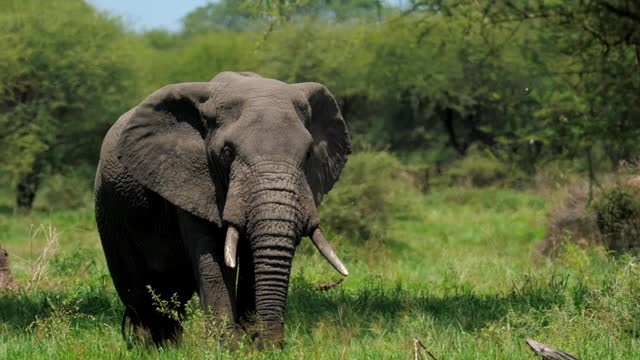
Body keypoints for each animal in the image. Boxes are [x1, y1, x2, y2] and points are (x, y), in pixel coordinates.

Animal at [95, 71, 350, 348]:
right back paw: (148, 347)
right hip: (110, 208)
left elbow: (251, 258)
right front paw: (228, 347)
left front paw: (253, 345)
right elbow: (215, 254)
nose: (274, 344)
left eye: (309, 155)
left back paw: (169, 345)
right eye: (227, 153)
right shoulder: (191, 177)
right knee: (137, 289)